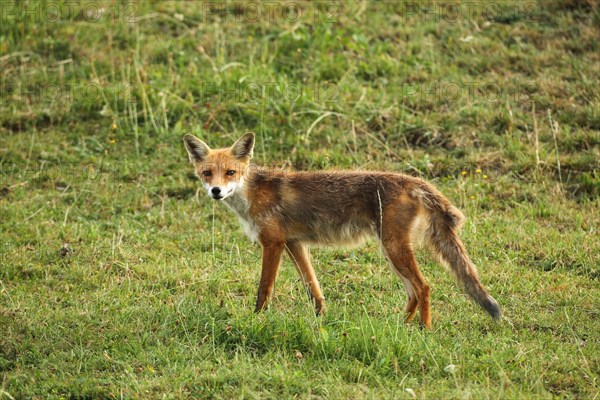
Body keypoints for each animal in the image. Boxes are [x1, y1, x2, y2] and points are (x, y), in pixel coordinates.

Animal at [184, 133, 502, 326]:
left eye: (231, 173)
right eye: (207, 173)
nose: (215, 191)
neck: (251, 194)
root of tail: (413, 181)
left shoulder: (273, 243)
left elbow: (265, 288)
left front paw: (258, 319)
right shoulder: (294, 243)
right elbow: (313, 286)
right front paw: (321, 318)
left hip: (394, 248)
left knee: (423, 286)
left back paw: (424, 329)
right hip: (391, 250)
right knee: (413, 291)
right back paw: (401, 326)